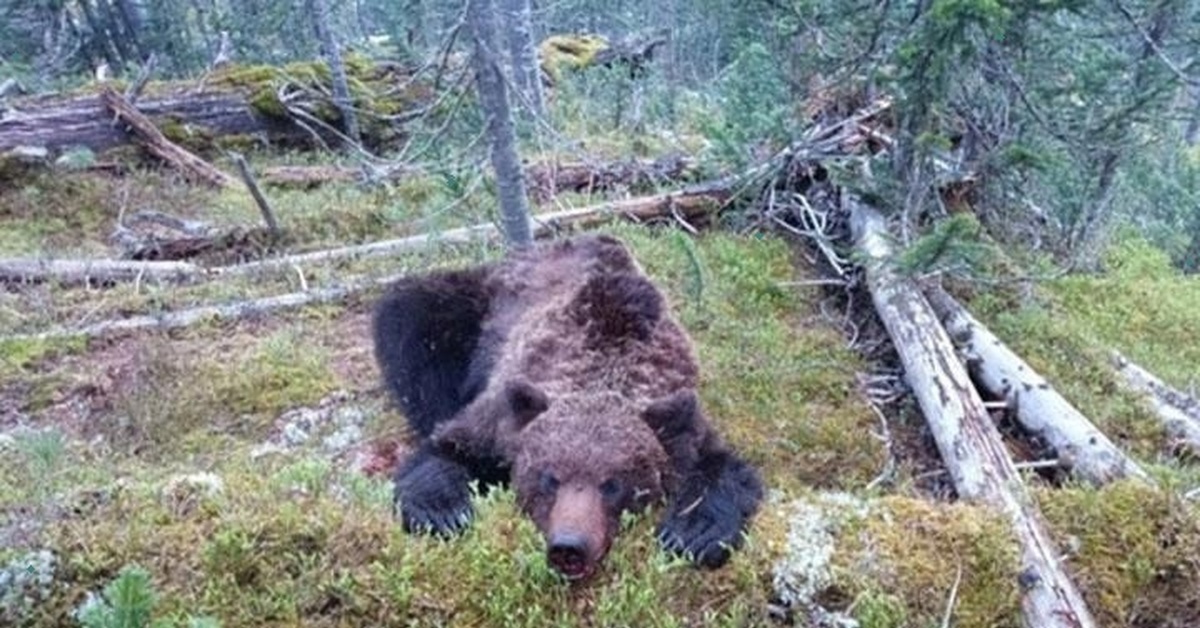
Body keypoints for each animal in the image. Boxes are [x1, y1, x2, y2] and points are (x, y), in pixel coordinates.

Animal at [374, 234, 763, 581]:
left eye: (613, 484)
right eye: (550, 477)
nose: (569, 546)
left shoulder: (682, 416)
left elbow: (724, 469)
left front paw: (693, 533)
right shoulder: (502, 413)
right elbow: (447, 447)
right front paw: (444, 512)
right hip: (474, 306)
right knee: (412, 316)